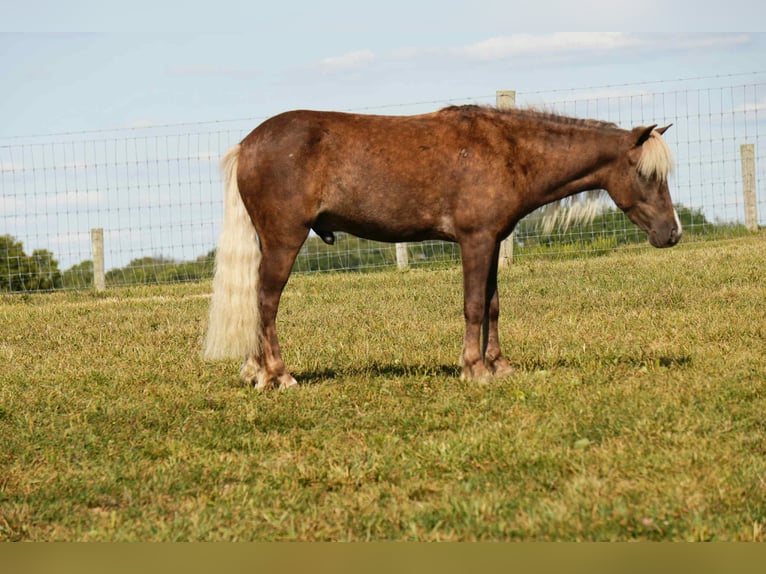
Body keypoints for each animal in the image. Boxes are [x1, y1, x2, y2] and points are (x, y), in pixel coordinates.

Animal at [203, 105, 680, 390]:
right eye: (646, 174)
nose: (671, 233)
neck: (508, 150)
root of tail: (247, 145)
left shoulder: (492, 242)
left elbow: (492, 306)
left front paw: (499, 365)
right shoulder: (475, 241)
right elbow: (472, 306)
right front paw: (474, 369)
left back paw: (256, 370)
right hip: (284, 241)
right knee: (266, 301)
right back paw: (278, 375)